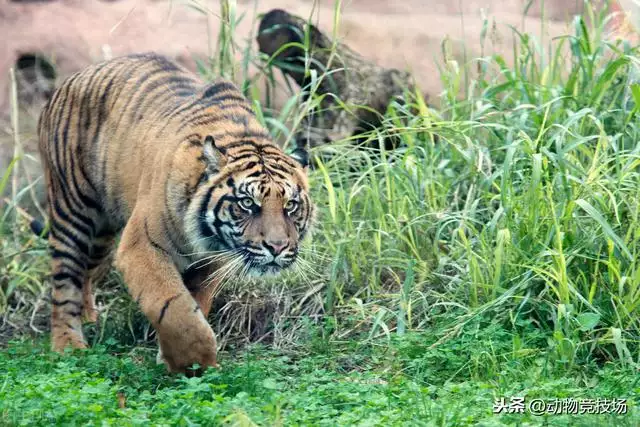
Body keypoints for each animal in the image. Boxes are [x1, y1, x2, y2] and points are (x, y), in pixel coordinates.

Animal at [35, 52, 316, 374]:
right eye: (247, 203)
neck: (206, 237)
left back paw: (89, 319)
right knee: (64, 282)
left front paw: (173, 358)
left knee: (86, 273)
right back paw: (68, 345)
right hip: (72, 212)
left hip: (101, 236)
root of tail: (66, 82)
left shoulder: (212, 261)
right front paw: (194, 363)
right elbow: (175, 308)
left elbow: (196, 305)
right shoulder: (142, 246)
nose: (277, 247)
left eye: (290, 205)